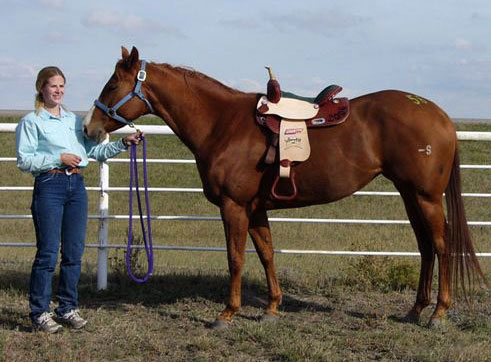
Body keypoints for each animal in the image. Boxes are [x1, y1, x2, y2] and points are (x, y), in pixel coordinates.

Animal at [83, 47, 484, 328]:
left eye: (113, 84)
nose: (89, 127)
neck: (222, 124)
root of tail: (439, 115)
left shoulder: (234, 206)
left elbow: (235, 258)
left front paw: (227, 313)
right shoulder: (256, 208)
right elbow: (267, 254)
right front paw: (273, 308)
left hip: (426, 196)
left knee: (441, 246)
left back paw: (438, 314)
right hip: (409, 194)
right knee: (425, 248)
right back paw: (416, 310)